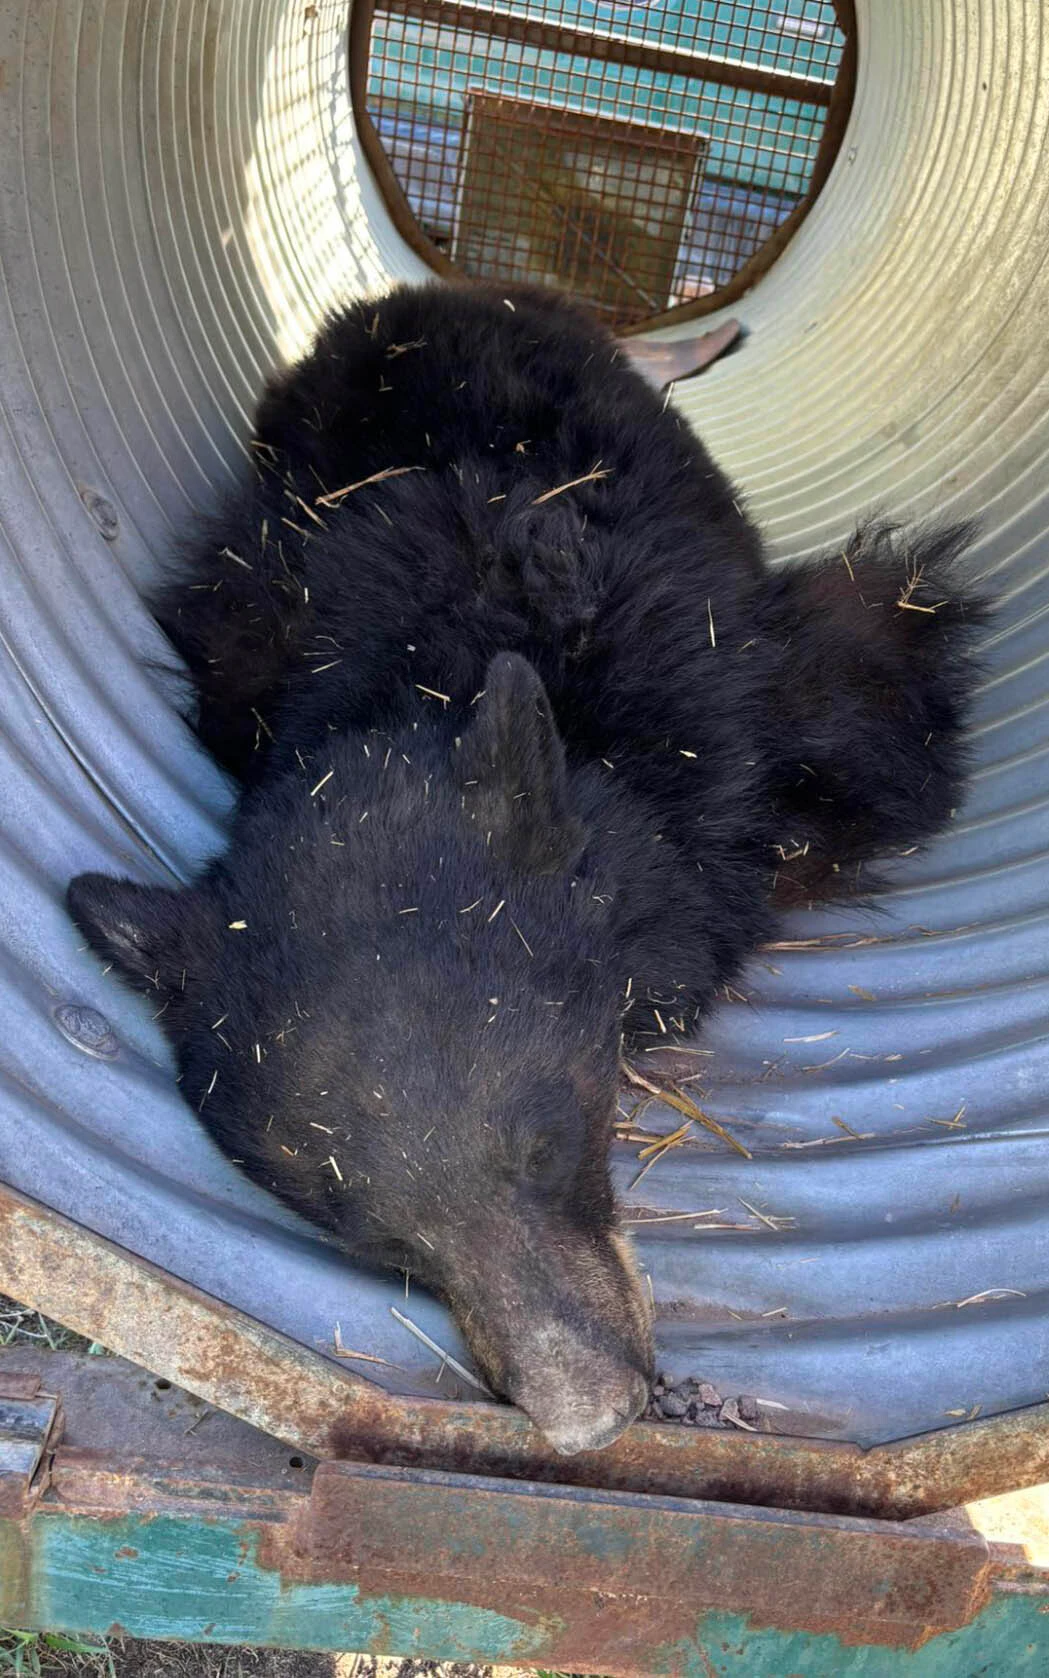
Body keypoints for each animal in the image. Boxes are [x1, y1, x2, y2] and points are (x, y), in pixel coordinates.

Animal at [67, 281, 988, 1454]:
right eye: (390, 1244)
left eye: (549, 1144)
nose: (585, 1420)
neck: (426, 680)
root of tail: (429, 290)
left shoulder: (740, 684)